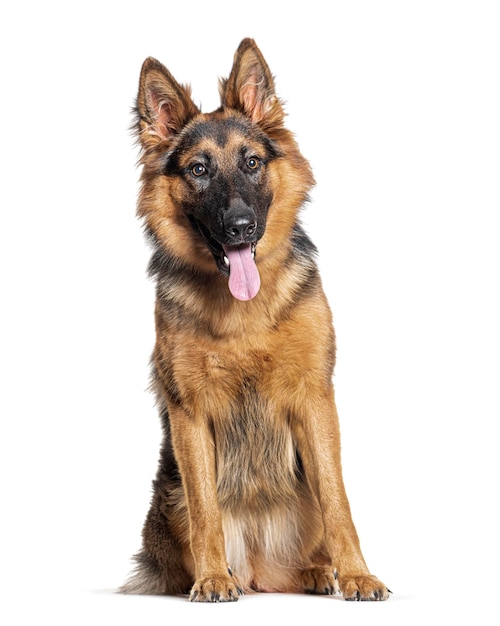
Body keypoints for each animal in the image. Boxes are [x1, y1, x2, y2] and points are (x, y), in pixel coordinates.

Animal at [122, 37, 390, 600]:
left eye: (250, 162)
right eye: (199, 170)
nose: (240, 227)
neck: (243, 313)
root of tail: (259, 569)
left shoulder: (315, 399)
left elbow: (339, 502)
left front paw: (356, 573)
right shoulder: (189, 413)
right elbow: (206, 507)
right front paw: (210, 576)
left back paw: (316, 572)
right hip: (168, 496)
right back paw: (226, 575)